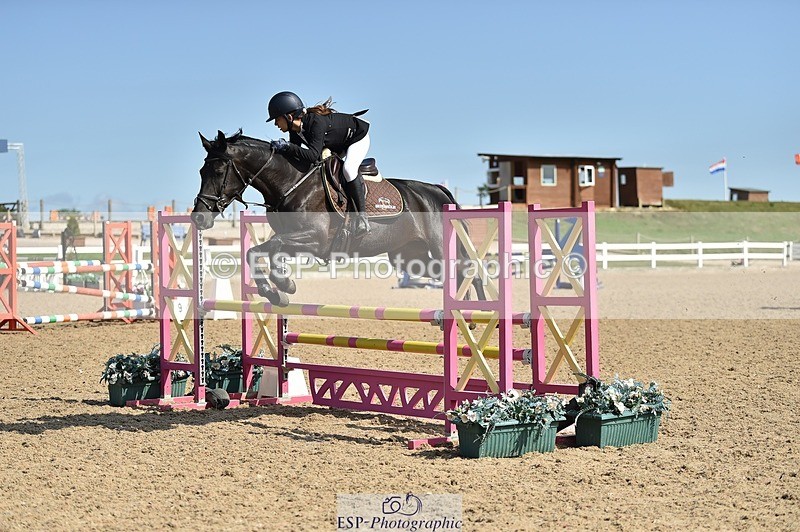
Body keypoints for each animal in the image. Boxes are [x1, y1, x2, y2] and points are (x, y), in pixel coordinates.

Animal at [190, 130, 485, 306]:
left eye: (218, 171)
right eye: (201, 171)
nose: (199, 218)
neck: (293, 183)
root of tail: (438, 191)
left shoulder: (315, 239)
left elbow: (265, 248)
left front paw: (282, 285)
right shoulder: (295, 240)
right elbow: (263, 250)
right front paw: (278, 290)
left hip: (439, 249)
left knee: (468, 270)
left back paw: (477, 314)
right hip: (412, 256)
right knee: (456, 274)